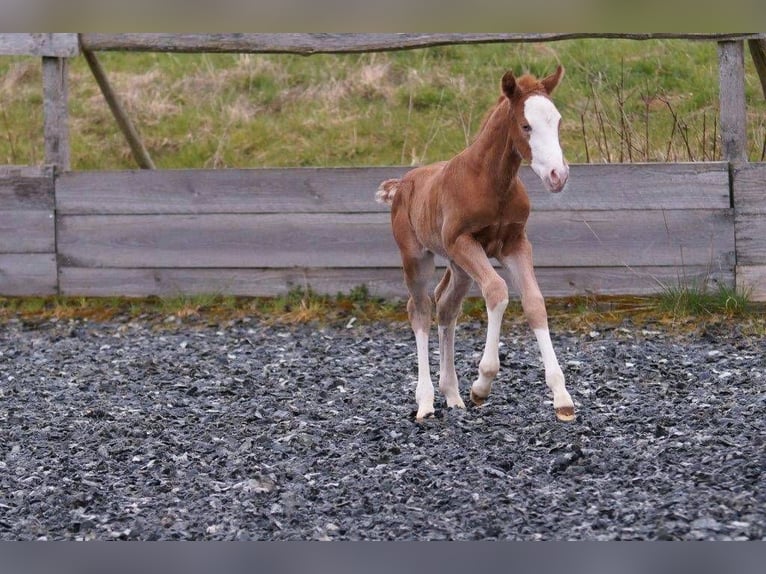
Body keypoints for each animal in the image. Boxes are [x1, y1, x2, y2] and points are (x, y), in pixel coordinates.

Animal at [376, 66, 580, 424]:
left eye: (557, 121)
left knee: (446, 306)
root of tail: (401, 185)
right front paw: (482, 384)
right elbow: (497, 291)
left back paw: (452, 395)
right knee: (420, 309)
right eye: (525, 126)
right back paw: (426, 402)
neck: (490, 181)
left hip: (459, 267)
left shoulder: (515, 244)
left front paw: (562, 398)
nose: (558, 176)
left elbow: (534, 302)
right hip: (418, 256)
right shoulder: (463, 241)